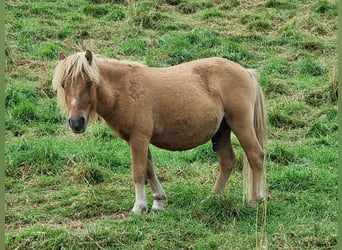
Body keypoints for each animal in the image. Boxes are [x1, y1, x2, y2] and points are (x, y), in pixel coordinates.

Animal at [51, 50, 268, 215]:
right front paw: (158, 202)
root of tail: (246, 72)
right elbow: (149, 169)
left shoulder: (139, 138)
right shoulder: (137, 140)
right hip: (221, 131)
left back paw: (256, 200)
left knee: (255, 155)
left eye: (89, 83)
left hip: (241, 125)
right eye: (64, 84)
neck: (125, 89)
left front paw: (139, 207)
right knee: (227, 161)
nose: (76, 122)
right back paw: (212, 198)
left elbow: (138, 172)